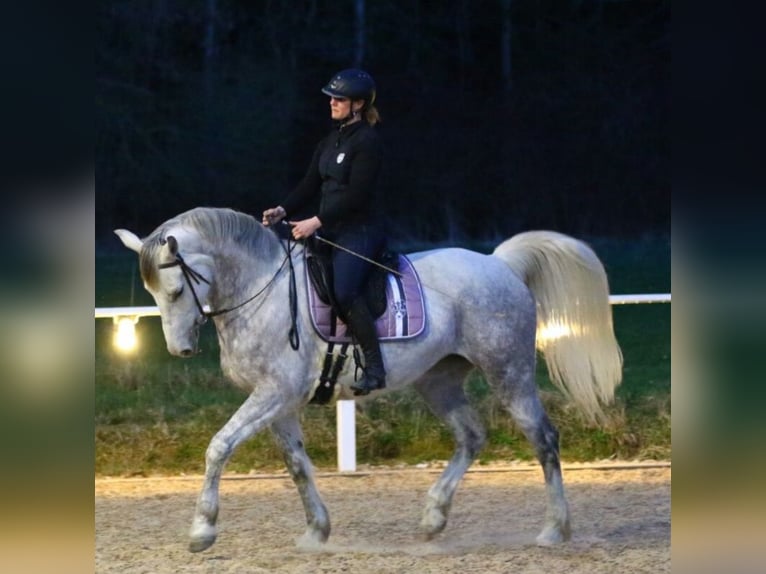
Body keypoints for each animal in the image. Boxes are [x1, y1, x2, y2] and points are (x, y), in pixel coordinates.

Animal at [117, 207, 628, 552]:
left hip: (509, 371)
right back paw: (433, 518)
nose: (180, 350)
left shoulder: (275, 393)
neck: (259, 290)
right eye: (152, 293)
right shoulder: (277, 401)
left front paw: (202, 530)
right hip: (438, 380)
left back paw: (554, 529)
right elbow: (297, 465)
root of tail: (499, 263)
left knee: (543, 438)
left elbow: (219, 446)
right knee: (471, 435)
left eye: (176, 289)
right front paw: (316, 531)